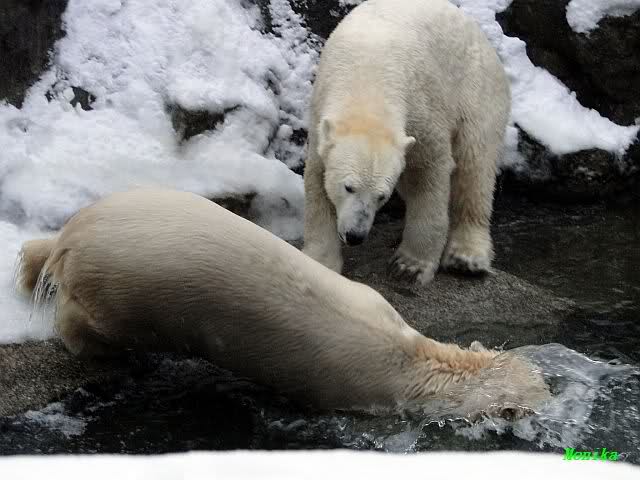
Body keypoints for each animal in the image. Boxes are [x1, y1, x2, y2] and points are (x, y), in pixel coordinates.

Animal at [15, 189, 547, 413]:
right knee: (93, 321)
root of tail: (76, 232)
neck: (410, 357)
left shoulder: (373, 301)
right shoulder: (354, 392)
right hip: (125, 288)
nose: (550, 395)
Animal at [302, 0, 511, 284]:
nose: (355, 236)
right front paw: (320, 262)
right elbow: (317, 182)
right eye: (348, 187)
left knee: (474, 164)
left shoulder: (422, 111)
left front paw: (410, 266)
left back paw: (466, 257)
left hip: (477, 89)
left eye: (382, 196)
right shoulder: (320, 117)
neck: (368, 80)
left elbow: (429, 173)